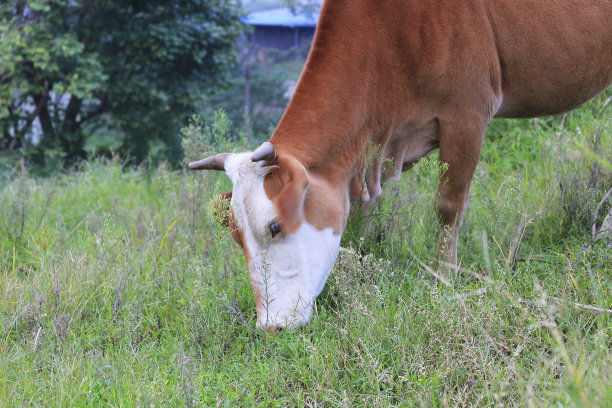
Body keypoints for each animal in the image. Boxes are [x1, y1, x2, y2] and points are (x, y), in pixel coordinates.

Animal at [191, 0, 612, 330]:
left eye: (275, 226)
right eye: (235, 235)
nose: (270, 326)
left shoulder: (467, 114)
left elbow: (448, 207)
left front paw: (446, 281)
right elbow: (359, 219)